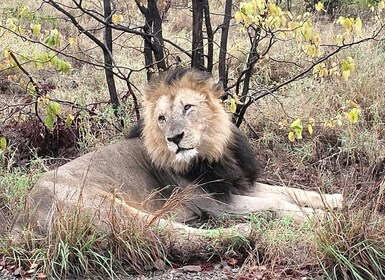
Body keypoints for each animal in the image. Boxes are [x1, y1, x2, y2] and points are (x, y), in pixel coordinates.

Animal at [12, 68, 342, 238]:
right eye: (161, 118)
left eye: (188, 107)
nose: (175, 138)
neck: (213, 153)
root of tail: (23, 213)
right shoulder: (212, 202)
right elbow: (276, 204)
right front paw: (317, 218)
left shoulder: (234, 184)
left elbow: (291, 191)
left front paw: (336, 200)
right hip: (113, 208)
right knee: (174, 232)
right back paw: (242, 231)